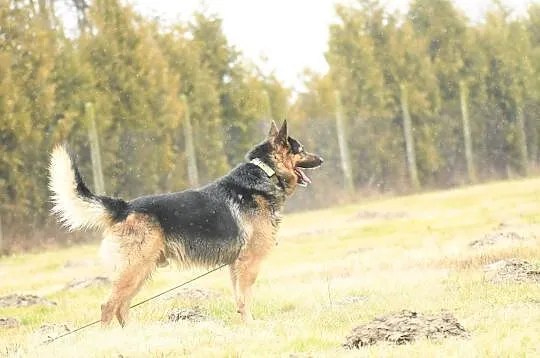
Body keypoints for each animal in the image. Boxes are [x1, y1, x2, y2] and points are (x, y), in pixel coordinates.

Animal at [48, 120, 322, 328]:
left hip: (142, 271)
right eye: (301, 149)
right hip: (135, 269)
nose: (322, 159)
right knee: (108, 307)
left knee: (121, 307)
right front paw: (251, 326)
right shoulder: (248, 263)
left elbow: (238, 300)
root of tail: (124, 207)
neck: (265, 173)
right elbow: (245, 299)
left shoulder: (235, 266)